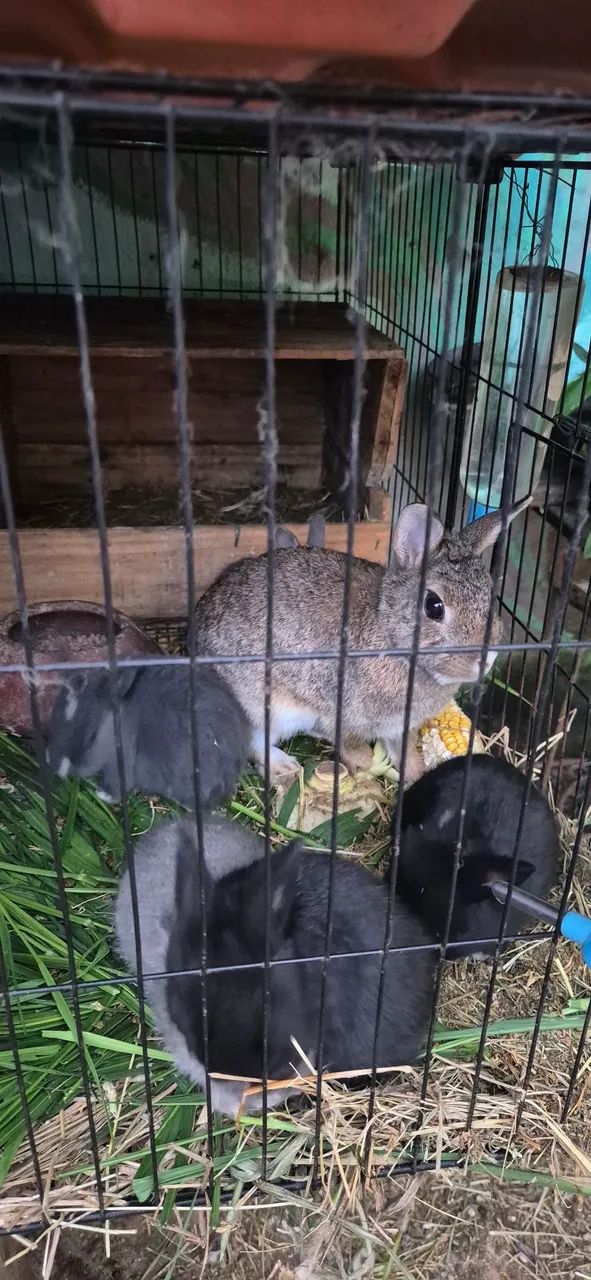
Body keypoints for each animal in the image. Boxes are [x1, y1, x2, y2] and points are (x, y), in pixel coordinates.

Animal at [196, 498, 530, 784]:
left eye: (491, 599)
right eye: (434, 606)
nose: (485, 659)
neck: (391, 636)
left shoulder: (399, 727)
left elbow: (406, 753)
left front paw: (415, 777)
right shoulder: (344, 716)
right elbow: (356, 751)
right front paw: (368, 772)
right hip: (260, 704)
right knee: (255, 741)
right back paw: (283, 766)